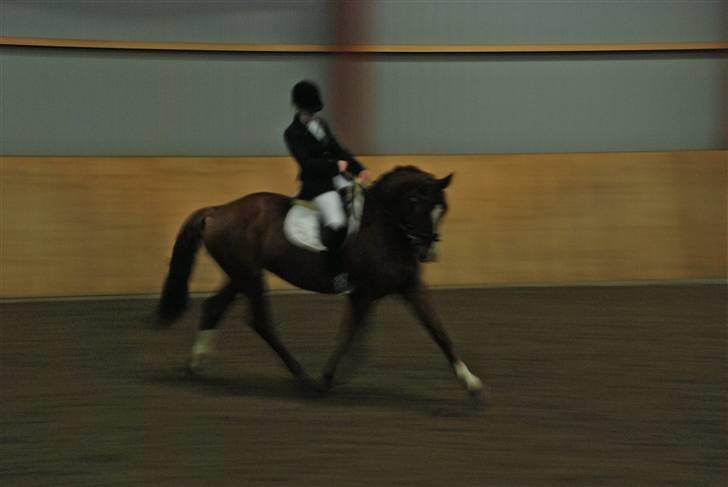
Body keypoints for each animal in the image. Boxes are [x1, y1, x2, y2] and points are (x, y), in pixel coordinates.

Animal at [156, 165, 484, 396]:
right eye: (414, 201)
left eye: (442, 209)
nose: (426, 252)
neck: (384, 227)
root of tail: (217, 211)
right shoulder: (363, 294)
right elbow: (348, 335)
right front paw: (327, 379)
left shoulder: (410, 287)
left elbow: (438, 331)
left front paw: (471, 383)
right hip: (248, 275)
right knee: (261, 322)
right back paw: (303, 377)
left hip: (241, 274)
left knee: (214, 308)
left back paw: (196, 364)